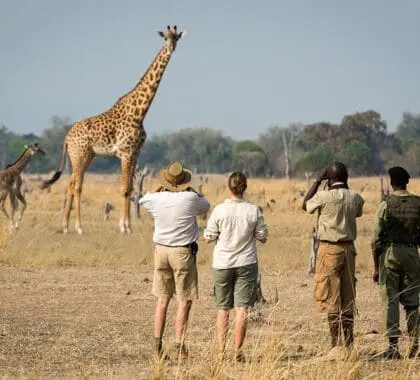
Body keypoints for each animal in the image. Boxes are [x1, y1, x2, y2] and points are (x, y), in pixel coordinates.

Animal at [41, 25, 185, 235]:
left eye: (177, 38)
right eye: (165, 38)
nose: (171, 48)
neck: (140, 112)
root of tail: (67, 138)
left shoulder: (135, 153)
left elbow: (130, 188)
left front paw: (128, 226)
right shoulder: (125, 153)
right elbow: (124, 189)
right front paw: (124, 227)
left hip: (87, 156)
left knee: (71, 184)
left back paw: (66, 226)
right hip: (79, 155)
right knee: (77, 186)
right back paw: (79, 227)